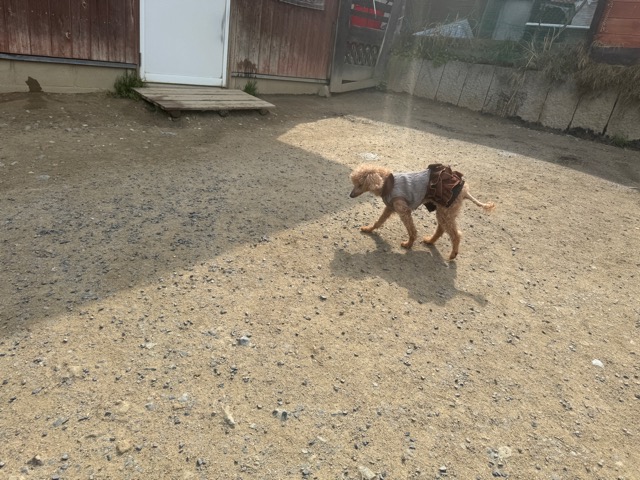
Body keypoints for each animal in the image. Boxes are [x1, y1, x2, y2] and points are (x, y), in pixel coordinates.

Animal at [349, 163, 495, 260]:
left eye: (360, 184)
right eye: (354, 183)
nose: (350, 195)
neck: (387, 184)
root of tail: (465, 191)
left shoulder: (404, 210)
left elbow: (412, 230)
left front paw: (408, 244)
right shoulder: (390, 207)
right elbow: (379, 221)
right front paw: (368, 229)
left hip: (446, 211)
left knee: (455, 235)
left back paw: (453, 254)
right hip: (443, 211)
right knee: (441, 229)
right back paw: (430, 241)